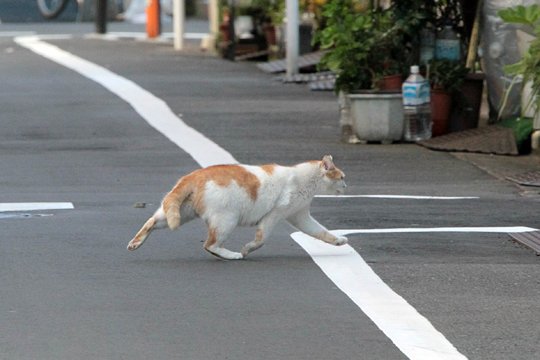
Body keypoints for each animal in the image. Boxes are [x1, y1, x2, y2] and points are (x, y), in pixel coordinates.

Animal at [126, 154, 346, 258]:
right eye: (342, 177)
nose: (346, 185)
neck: (306, 180)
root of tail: (193, 175)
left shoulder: (300, 216)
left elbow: (320, 231)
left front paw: (338, 241)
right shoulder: (273, 215)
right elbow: (261, 239)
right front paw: (248, 249)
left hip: (179, 213)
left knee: (151, 221)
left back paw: (135, 243)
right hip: (226, 220)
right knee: (210, 245)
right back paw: (233, 255)